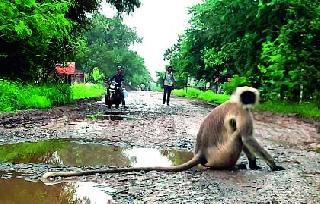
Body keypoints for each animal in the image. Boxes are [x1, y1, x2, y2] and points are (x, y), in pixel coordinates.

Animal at [41, 87, 284, 181]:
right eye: (247, 96)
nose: (251, 98)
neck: (234, 101)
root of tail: (201, 152)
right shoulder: (243, 112)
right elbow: (247, 137)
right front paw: (273, 166)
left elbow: (246, 139)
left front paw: (254, 163)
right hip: (223, 154)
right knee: (236, 139)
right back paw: (229, 166)